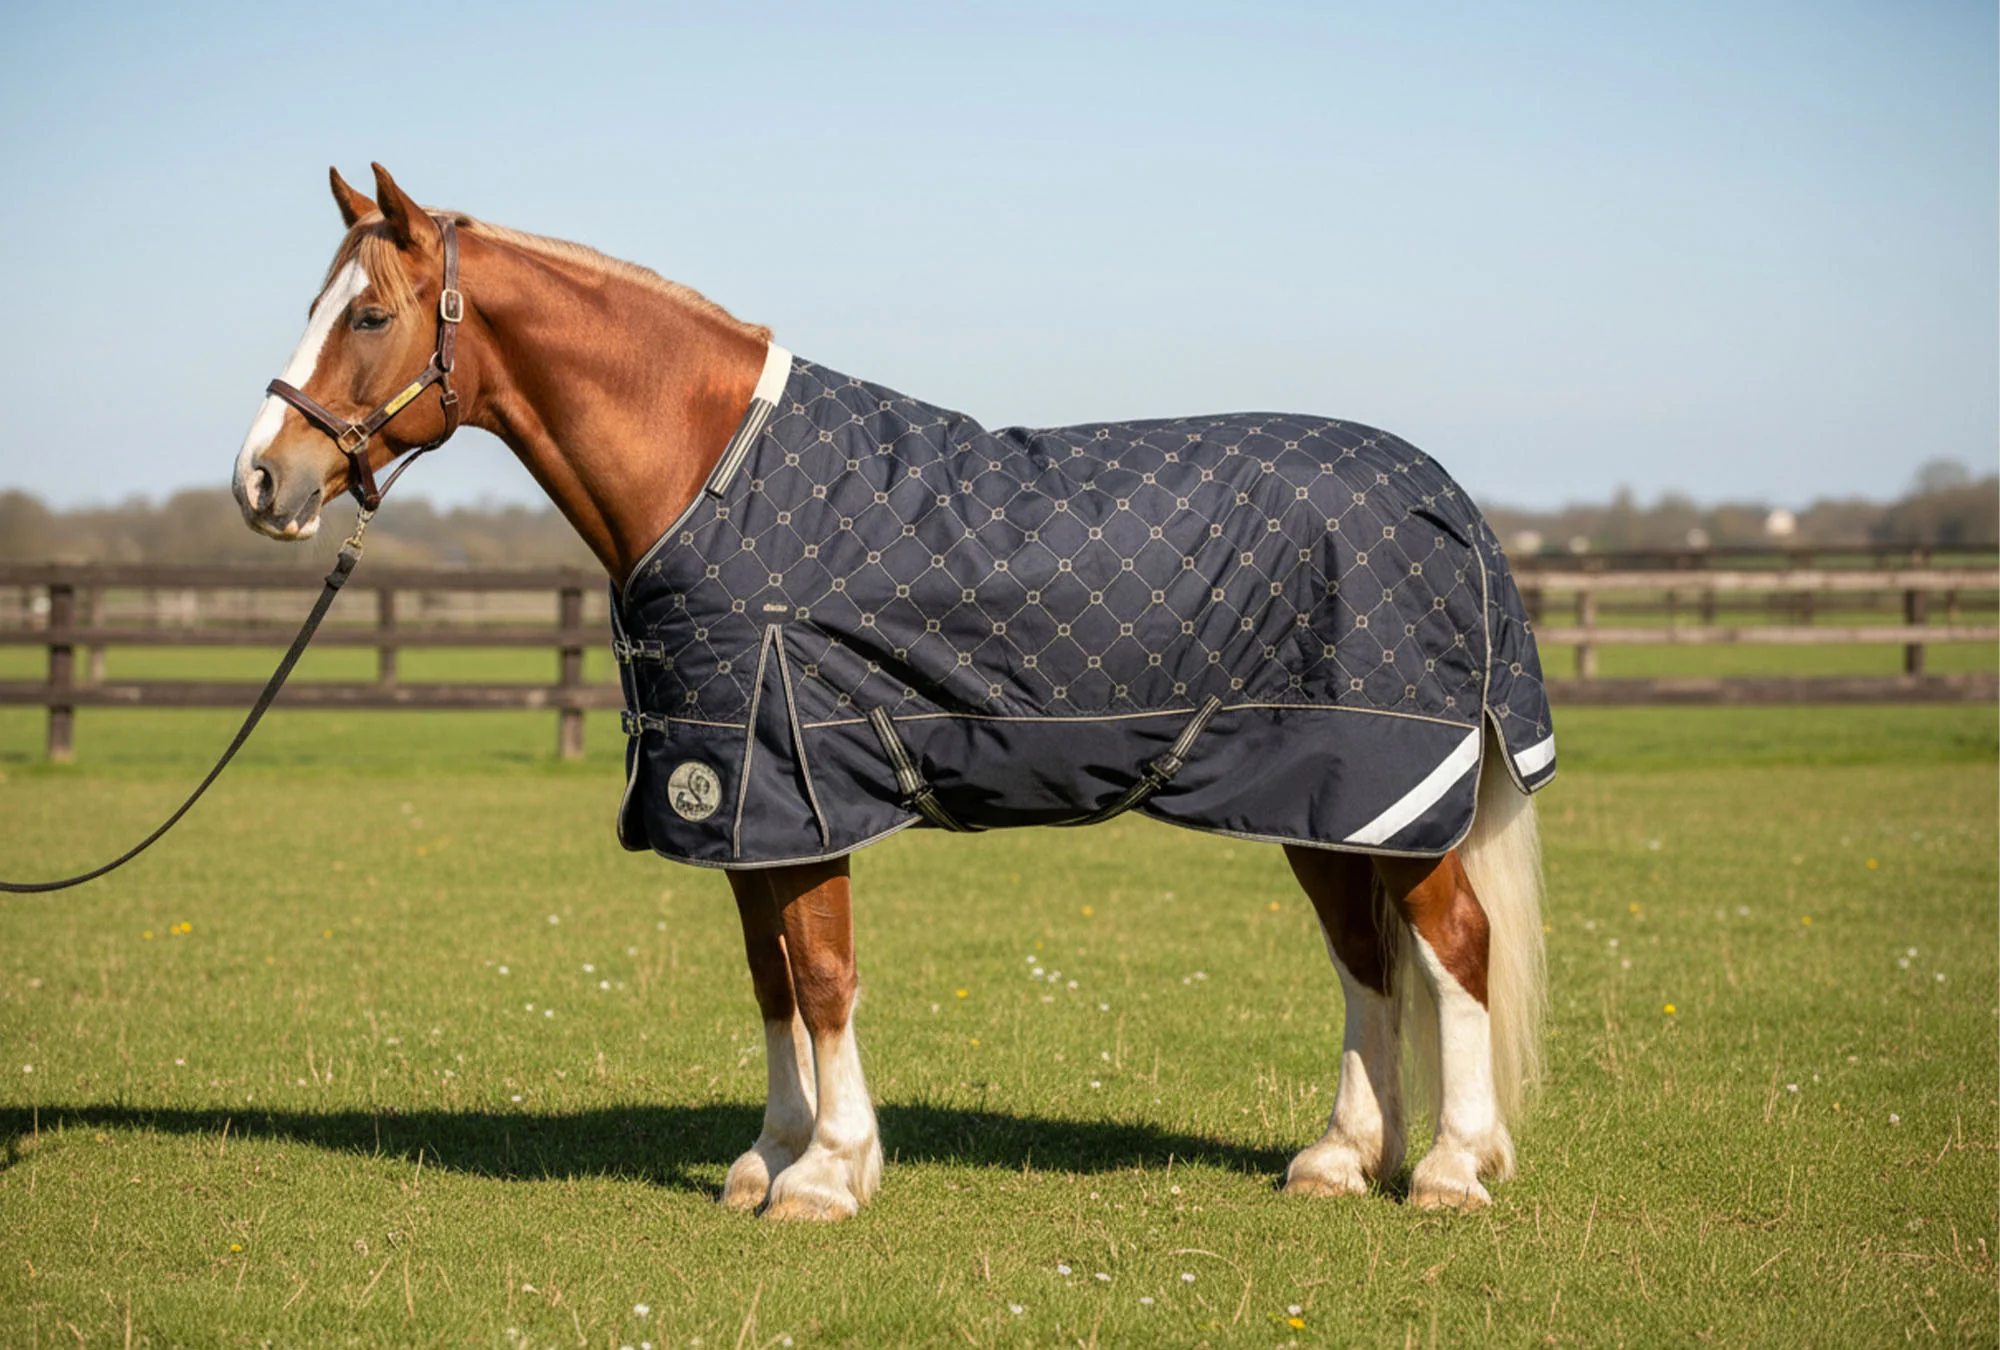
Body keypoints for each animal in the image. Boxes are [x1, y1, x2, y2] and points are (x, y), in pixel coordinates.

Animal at [233, 163, 1551, 1221]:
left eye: (368, 313)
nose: (261, 480)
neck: (714, 476)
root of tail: (1446, 500)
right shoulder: (740, 804)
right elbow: (770, 977)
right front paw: (769, 1158)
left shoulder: (800, 787)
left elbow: (821, 975)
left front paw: (827, 1173)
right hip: (1323, 805)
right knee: (1366, 960)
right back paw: (1342, 1157)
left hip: (1388, 790)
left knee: (1452, 949)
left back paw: (1449, 1169)